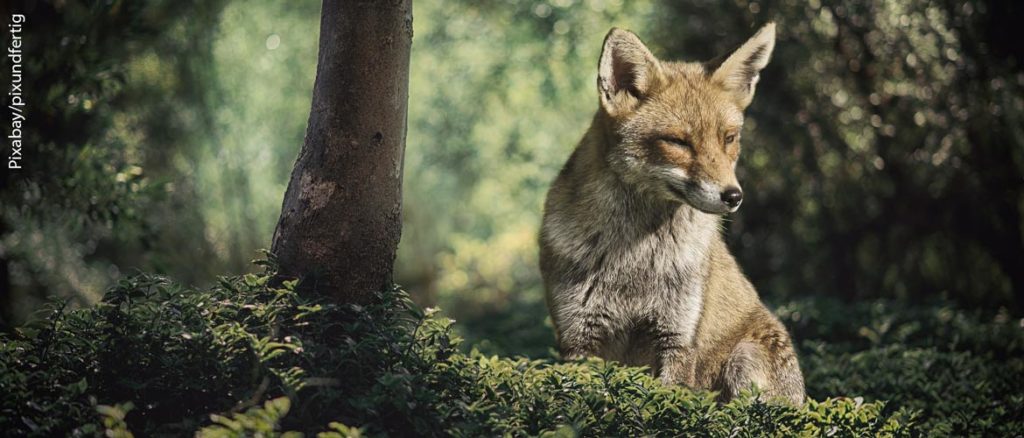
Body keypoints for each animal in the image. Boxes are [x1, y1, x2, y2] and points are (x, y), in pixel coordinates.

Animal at [540, 23, 802, 405]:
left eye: (729, 138)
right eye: (678, 142)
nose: (734, 196)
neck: (634, 260)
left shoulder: (678, 338)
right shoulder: (579, 340)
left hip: (744, 359)